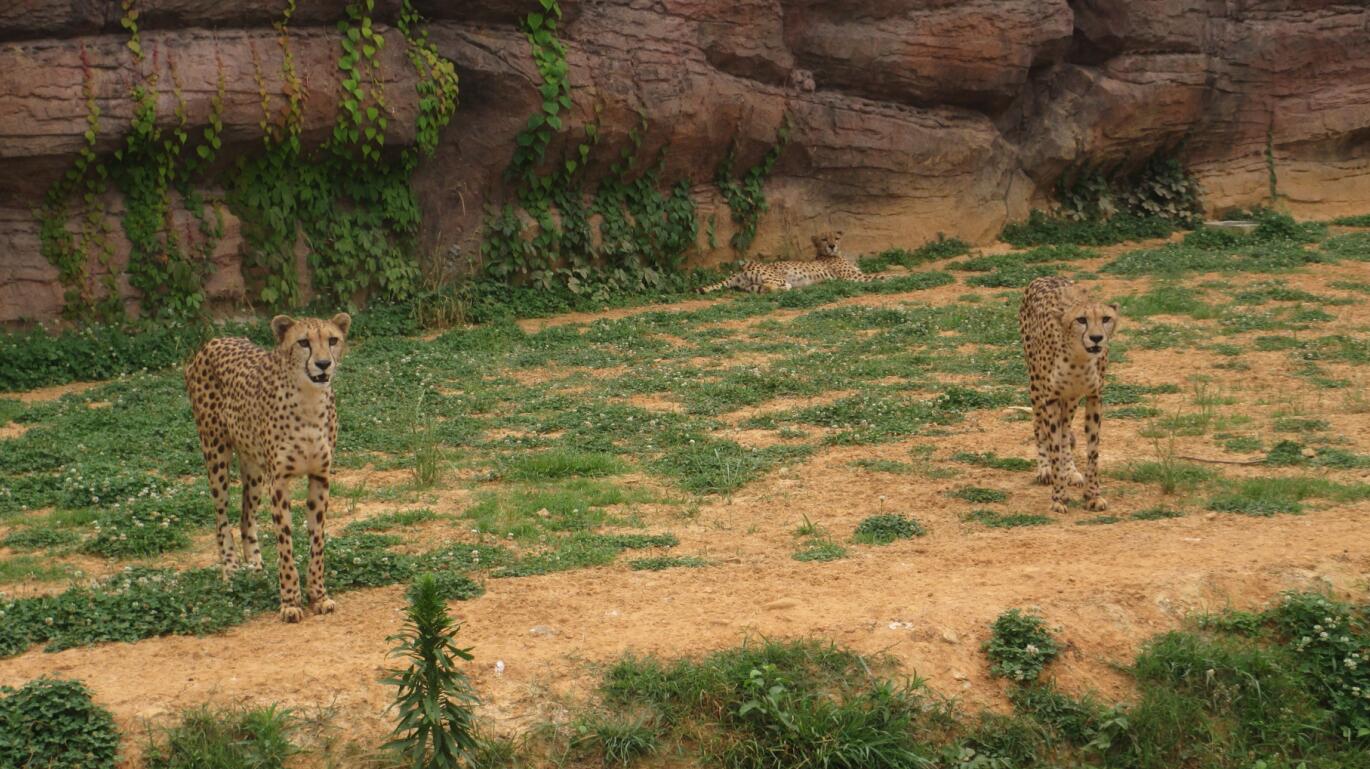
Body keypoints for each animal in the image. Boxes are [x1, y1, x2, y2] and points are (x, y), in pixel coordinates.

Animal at [184, 313, 351, 623]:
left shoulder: (320, 477)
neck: (309, 401)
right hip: (215, 453)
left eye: (333, 340)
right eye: (303, 342)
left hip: (253, 468)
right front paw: (290, 601)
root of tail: (215, 340)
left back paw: (256, 568)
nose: (324, 363)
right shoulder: (280, 480)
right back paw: (230, 569)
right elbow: (285, 544)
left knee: (245, 516)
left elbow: (317, 541)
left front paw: (318, 595)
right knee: (221, 517)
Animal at [697, 230, 877, 293]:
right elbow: (878, 275)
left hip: (751, 286)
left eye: (836, 238)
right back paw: (790, 287)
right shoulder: (853, 277)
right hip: (777, 277)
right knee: (772, 286)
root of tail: (739, 269)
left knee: (763, 289)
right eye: (824, 239)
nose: (832, 246)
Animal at [1018, 276, 1120, 515]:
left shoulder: (1094, 397)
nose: (1096, 338)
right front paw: (1058, 497)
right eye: (1081, 319)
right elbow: (1054, 446)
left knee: (1065, 430)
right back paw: (1045, 469)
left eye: (1106, 318)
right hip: (1036, 387)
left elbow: (1092, 451)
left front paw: (1093, 495)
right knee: (1039, 427)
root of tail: (1044, 276)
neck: (1078, 358)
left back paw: (1071, 471)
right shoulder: (1051, 399)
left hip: (1072, 399)